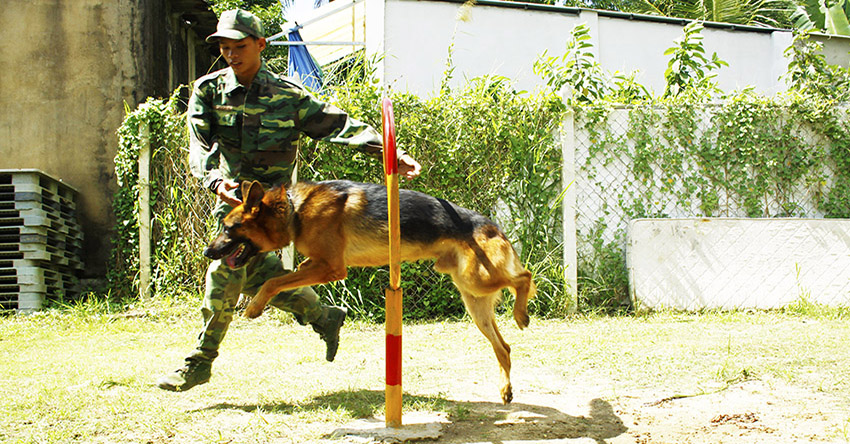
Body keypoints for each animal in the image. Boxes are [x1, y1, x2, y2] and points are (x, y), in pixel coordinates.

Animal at [205, 179, 532, 404]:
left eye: (228, 228)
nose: (208, 253)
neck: (293, 210)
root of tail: (493, 226)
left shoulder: (331, 268)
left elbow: (272, 282)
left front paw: (254, 306)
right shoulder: (317, 263)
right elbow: (283, 279)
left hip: (476, 280)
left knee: (524, 277)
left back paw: (521, 315)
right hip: (473, 298)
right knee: (504, 347)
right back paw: (505, 390)